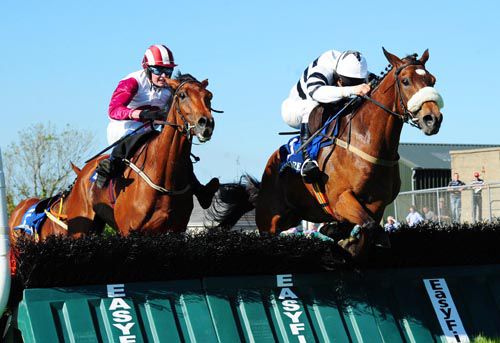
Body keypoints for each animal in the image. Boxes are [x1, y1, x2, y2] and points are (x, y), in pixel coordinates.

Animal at [9, 74, 217, 243]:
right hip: (80, 229)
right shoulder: (129, 230)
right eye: (182, 95)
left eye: (209, 96)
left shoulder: (175, 230)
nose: (206, 123)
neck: (164, 174)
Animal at [211, 47, 442, 258]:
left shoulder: (377, 206)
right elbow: (368, 227)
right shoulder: (340, 199)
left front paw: (340, 236)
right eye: (405, 81)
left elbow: (368, 230)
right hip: (270, 221)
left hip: (296, 214)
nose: (432, 119)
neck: (367, 144)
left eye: (432, 80)